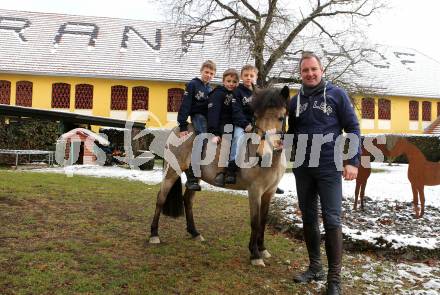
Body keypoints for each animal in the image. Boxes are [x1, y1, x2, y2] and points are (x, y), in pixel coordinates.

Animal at [150, 86, 290, 268]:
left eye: (280, 117)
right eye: (256, 117)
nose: (262, 155)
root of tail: (178, 129)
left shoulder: (269, 192)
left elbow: (263, 221)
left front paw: (263, 249)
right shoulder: (255, 191)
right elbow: (255, 221)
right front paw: (255, 254)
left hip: (195, 178)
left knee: (188, 199)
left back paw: (195, 233)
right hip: (171, 172)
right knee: (161, 198)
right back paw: (154, 235)